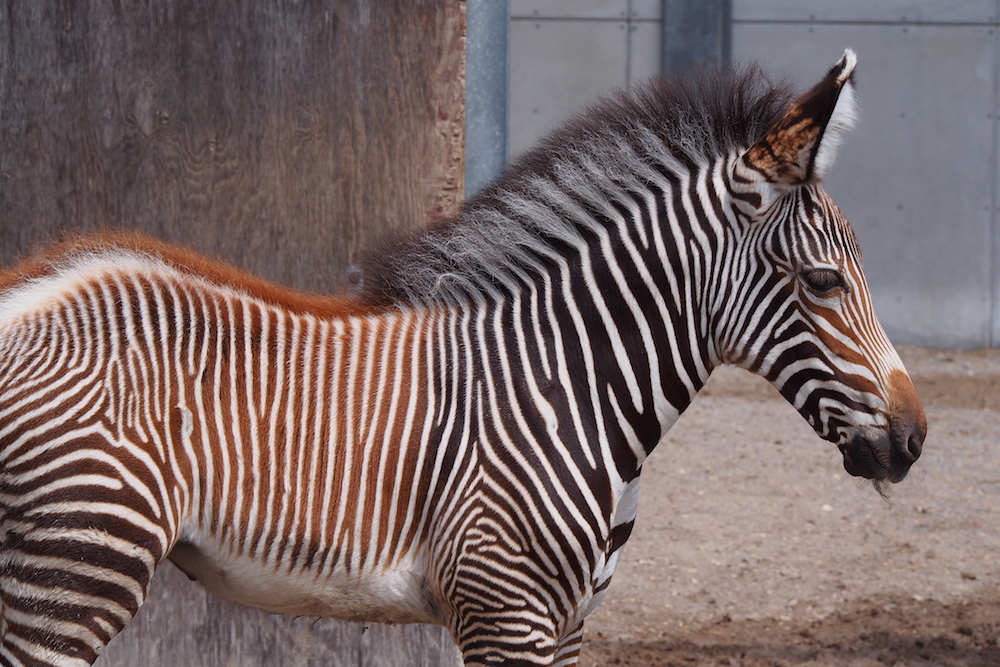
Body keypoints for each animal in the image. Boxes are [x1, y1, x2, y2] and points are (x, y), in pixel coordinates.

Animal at [0, 53, 920, 667]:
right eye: (824, 280)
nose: (913, 439)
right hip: (76, 567)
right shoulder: (503, 608)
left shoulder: (565, 621)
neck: (565, 382)